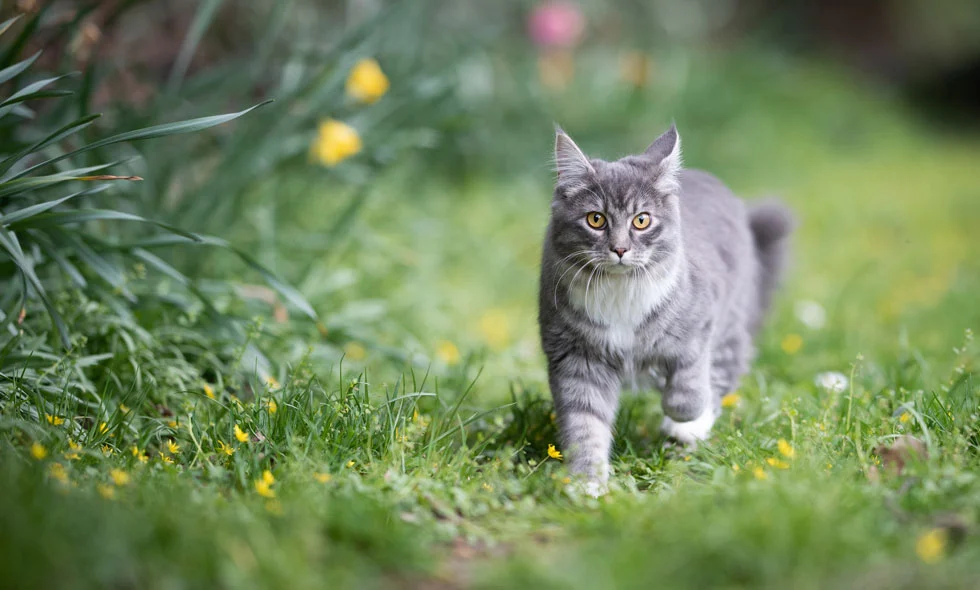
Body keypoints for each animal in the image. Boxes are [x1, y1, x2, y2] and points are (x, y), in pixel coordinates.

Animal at [540, 126, 792, 500]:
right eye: (596, 219)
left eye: (641, 220)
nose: (619, 249)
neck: (620, 291)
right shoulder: (575, 358)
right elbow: (585, 425)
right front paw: (588, 484)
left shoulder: (700, 322)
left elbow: (689, 384)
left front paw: (683, 416)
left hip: (730, 323)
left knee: (721, 374)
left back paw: (687, 429)